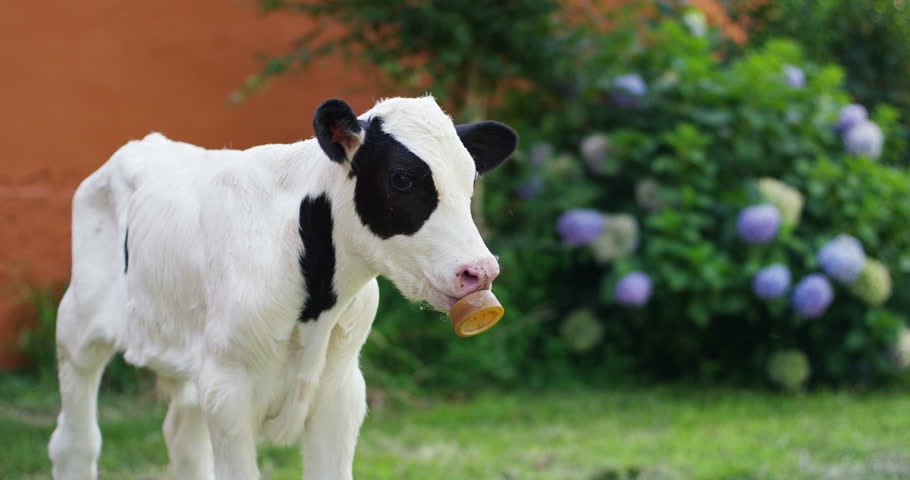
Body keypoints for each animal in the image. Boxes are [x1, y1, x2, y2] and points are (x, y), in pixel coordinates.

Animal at [48, 96, 517, 480]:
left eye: (470, 179)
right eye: (402, 178)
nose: (479, 271)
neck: (316, 306)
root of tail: (142, 144)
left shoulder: (340, 389)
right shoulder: (228, 391)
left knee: (183, 438)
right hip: (78, 325)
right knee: (75, 442)